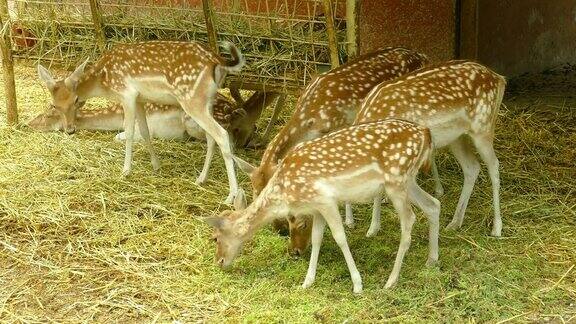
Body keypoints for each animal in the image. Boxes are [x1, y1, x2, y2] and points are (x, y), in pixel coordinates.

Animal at [37, 39, 245, 202]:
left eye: (76, 100)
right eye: (54, 105)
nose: (70, 129)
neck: (104, 82)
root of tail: (218, 61)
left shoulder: (127, 94)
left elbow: (128, 132)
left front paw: (125, 171)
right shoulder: (140, 99)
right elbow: (144, 131)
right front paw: (156, 165)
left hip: (191, 99)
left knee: (222, 135)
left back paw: (231, 195)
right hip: (206, 102)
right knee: (211, 138)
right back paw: (201, 179)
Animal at [207, 119, 440, 294]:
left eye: (216, 238)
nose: (219, 262)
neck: (285, 192)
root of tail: (425, 133)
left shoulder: (326, 200)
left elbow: (340, 237)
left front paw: (357, 284)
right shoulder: (316, 207)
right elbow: (317, 238)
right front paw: (307, 282)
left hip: (396, 181)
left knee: (409, 220)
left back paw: (391, 281)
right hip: (408, 180)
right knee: (433, 204)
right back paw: (431, 260)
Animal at [232, 46, 430, 251]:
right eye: (255, 192)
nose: (280, 230)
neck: (310, 120)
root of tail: (423, 56)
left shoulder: (341, 126)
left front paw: (349, 220)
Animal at [356, 60, 504, 237]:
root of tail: (499, 78)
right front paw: (373, 229)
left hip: (483, 127)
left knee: (494, 165)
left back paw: (497, 227)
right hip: (457, 137)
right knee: (472, 167)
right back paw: (455, 222)